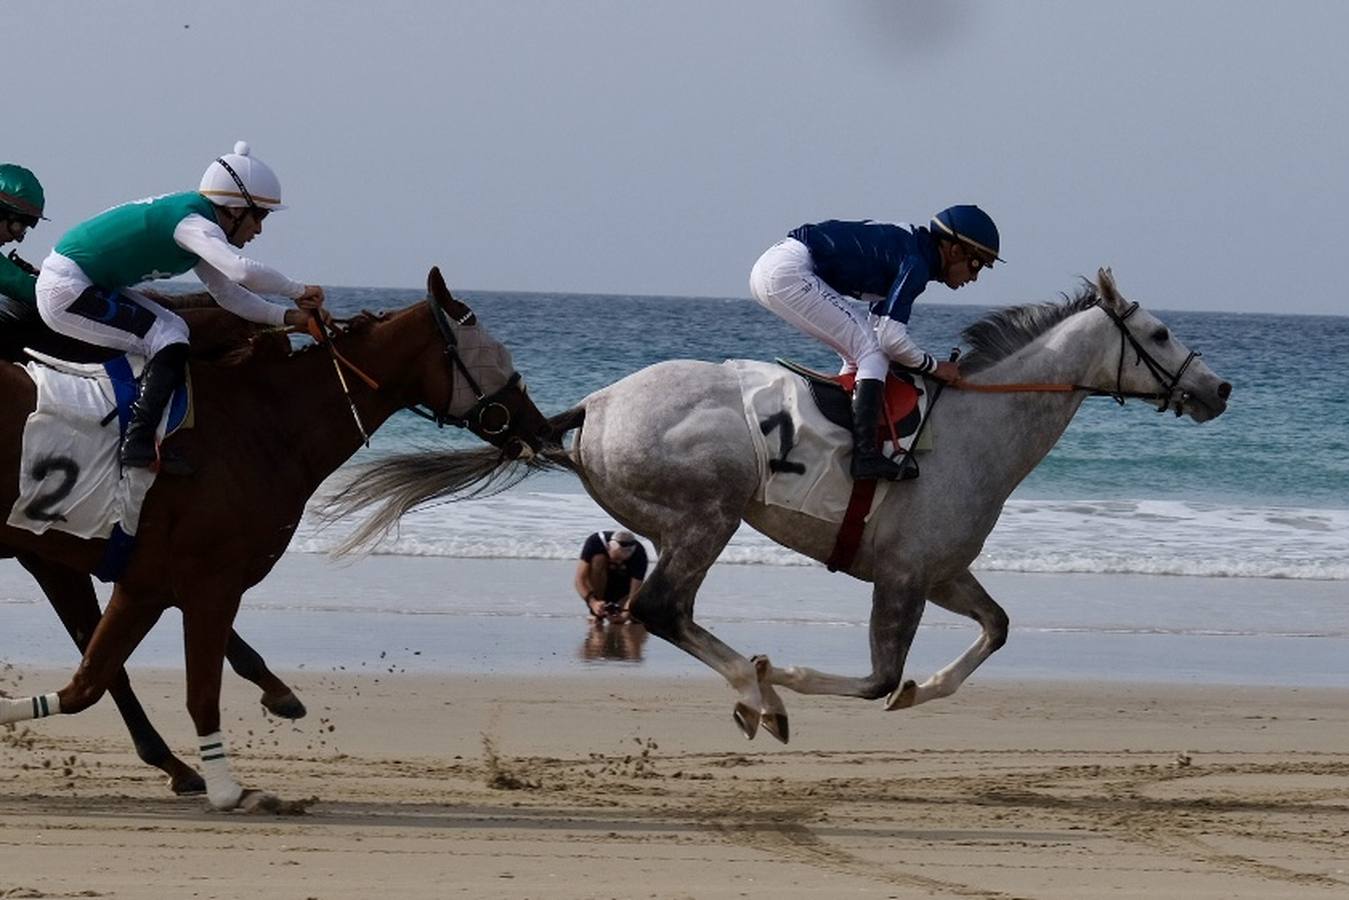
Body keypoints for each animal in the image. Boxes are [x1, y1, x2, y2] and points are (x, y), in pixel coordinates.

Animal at [325, 269, 1231, 742]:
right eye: (1156, 334)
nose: (1218, 389)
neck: (978, 427)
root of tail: (594, 408)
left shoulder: (939, 571)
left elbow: (994, 629)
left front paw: (922, 692)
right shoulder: (900, 577)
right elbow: (876, 676)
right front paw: (790, 674)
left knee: (668, 611)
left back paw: (756, 690)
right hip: (708, 514)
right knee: (659, 609)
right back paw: (760, 691)